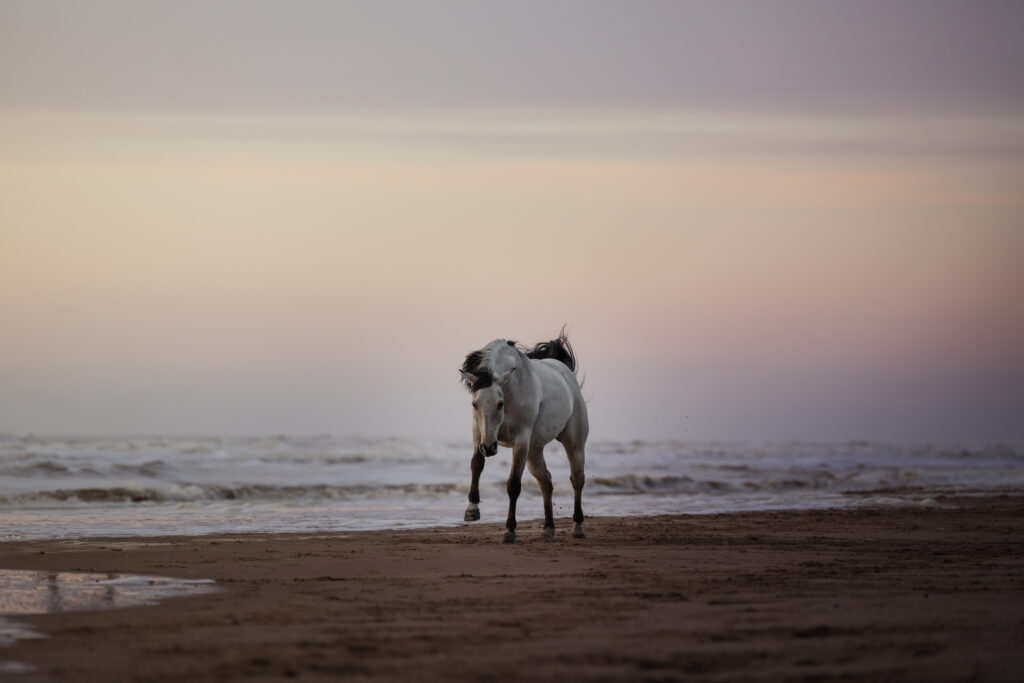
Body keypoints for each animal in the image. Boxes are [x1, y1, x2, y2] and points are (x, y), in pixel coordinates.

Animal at [459, 332, 589, 544]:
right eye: (474, 404)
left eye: (500, 403)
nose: (490, 448)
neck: (512, 389)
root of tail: (565, 371)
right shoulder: (479, 433)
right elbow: (476, 465)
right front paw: (472, 510)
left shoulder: (521, 441)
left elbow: (513, 485)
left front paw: (509, 531)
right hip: (534, 452)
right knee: (546, 482)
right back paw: (548, 528)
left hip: (574, 445)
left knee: (577, 479)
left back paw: (577, 527)